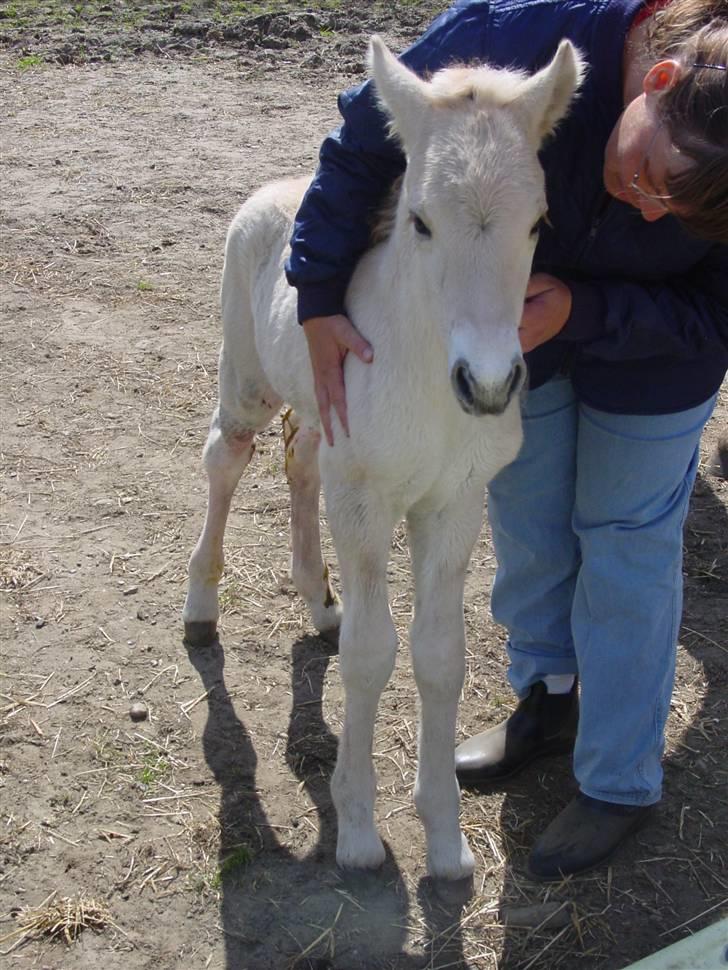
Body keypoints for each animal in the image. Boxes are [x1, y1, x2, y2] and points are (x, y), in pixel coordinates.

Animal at [183, 37, 584, 880]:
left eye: (539, 222)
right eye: (419, 220)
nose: (488, 384)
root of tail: (276, 190)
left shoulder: (455, 503)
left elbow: (439, 656)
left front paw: (446, 839)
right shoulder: (365, 502)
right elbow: (372, 654)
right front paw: (361, 834)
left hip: (322, 424)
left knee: (302, 461)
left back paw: (319, 599)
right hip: (246, 382)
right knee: (225, 458)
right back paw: (201, 606)